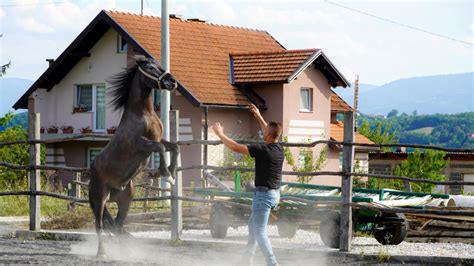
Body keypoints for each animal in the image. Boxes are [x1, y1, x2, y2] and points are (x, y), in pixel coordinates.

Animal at [88, 55, 178, 258]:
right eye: (151, 68)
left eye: (160, 65)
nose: (172, 82)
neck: (143, 114)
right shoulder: (141, 144)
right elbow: (161, 147)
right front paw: (166, 174)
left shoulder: (158, 138)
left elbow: (173, 147)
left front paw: (171, 173)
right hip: (99, 199)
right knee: (99, 225)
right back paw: (101, 253)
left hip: (125, 200)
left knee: (118, 225)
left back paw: (125, 253)